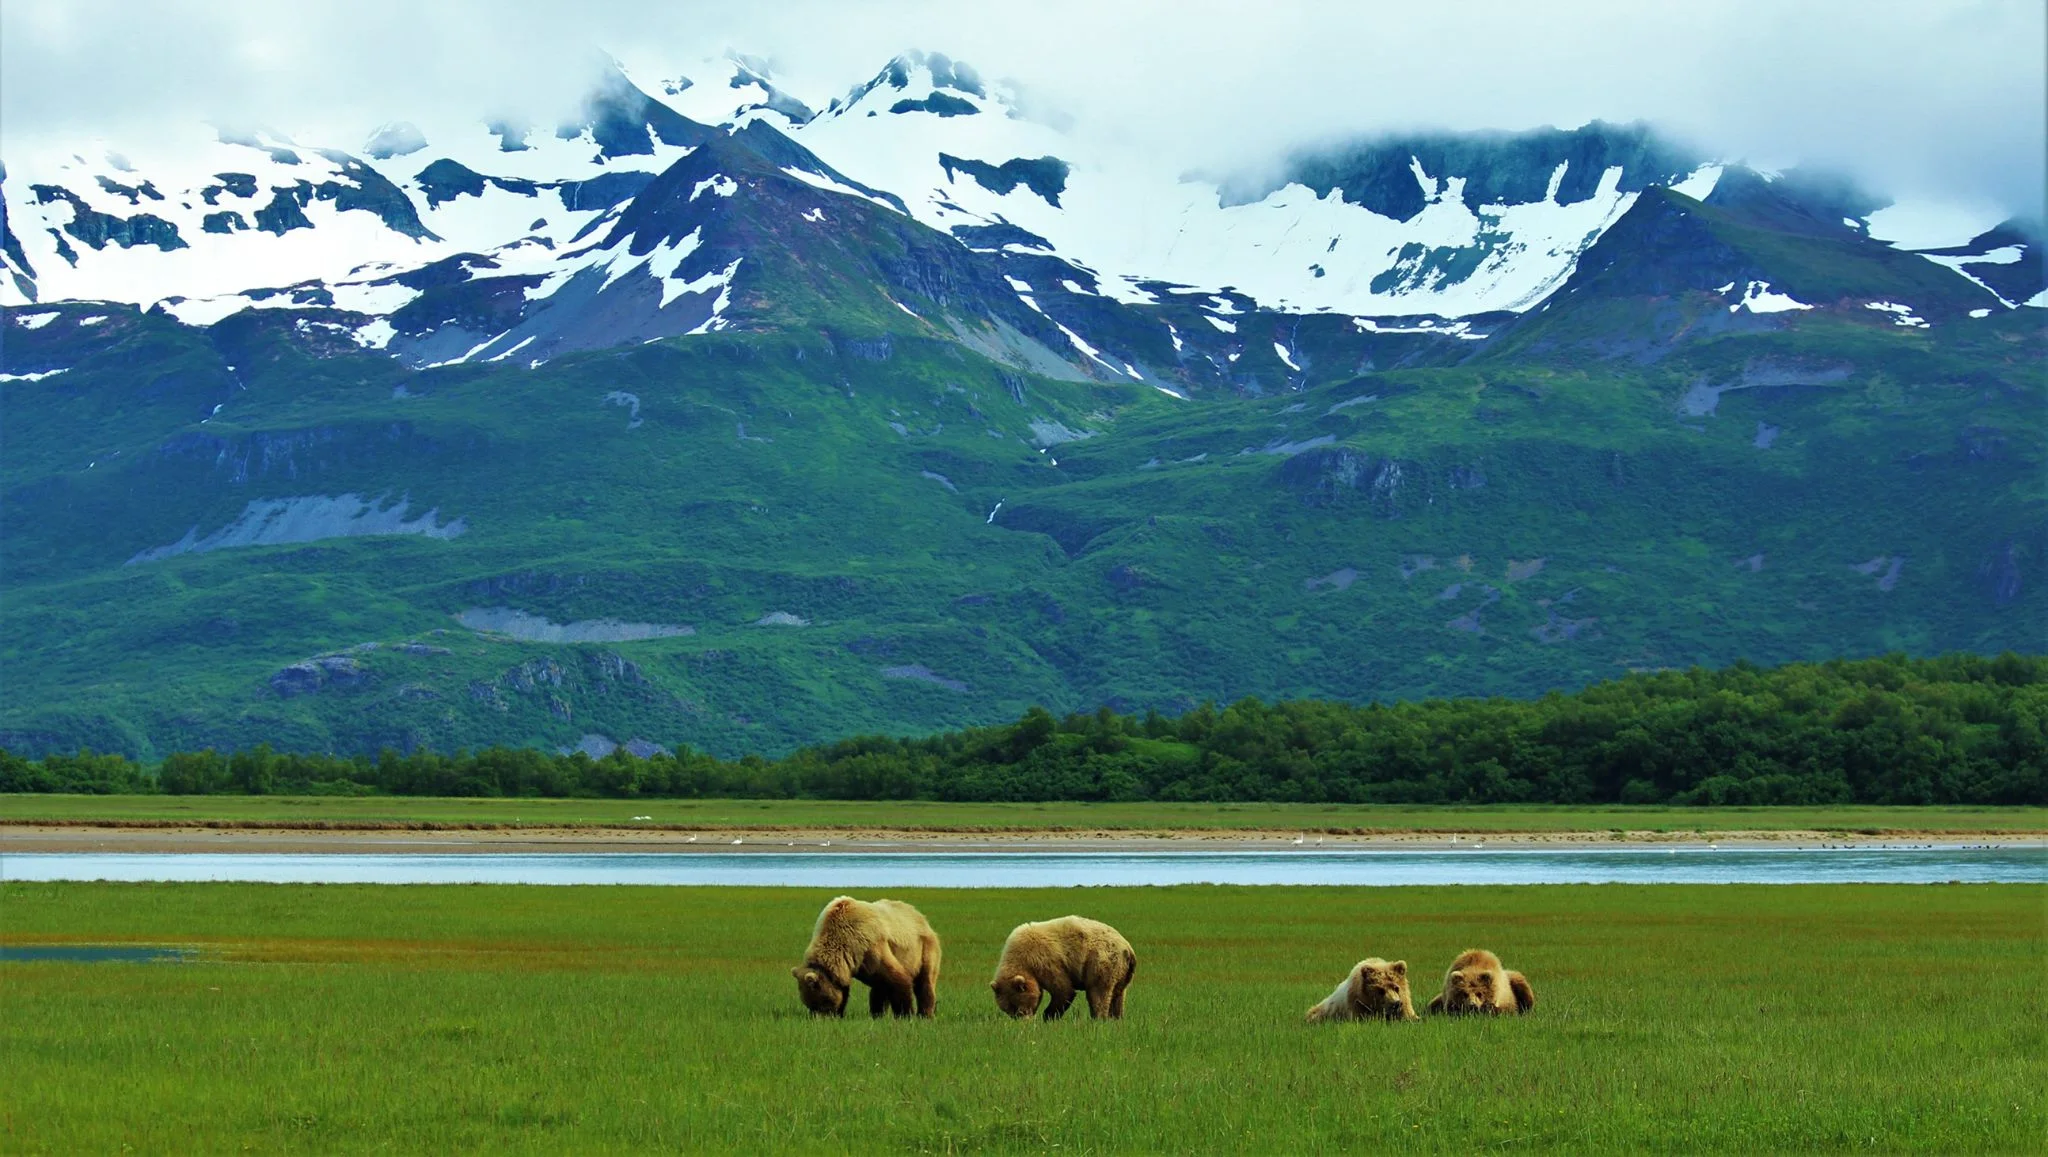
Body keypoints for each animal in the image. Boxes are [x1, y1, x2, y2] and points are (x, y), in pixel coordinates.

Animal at [790, 896, 942, 1015]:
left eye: (819, 1002)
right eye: (808, 1004)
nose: (819, 1017)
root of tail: (922, 917)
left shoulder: (872, 945)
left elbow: (898, 979)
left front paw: (905, 1014)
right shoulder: (854, 963)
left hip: (924, 949)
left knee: (925, 981)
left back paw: (925, 1014)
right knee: (880, 987)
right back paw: (877, 1013)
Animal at [987, 913, 1138, 1019]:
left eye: (1020, 1009)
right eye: (1010, 1011)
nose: (1024, 1021)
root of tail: (1128, 947)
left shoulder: (1046, 960)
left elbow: (1063, 990)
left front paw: (1048, 1016)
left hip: (1100, 960)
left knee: (1098, 993)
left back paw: (1098, 1018)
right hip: (1122, 971)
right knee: (1118, 995)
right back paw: (1116, 1019)